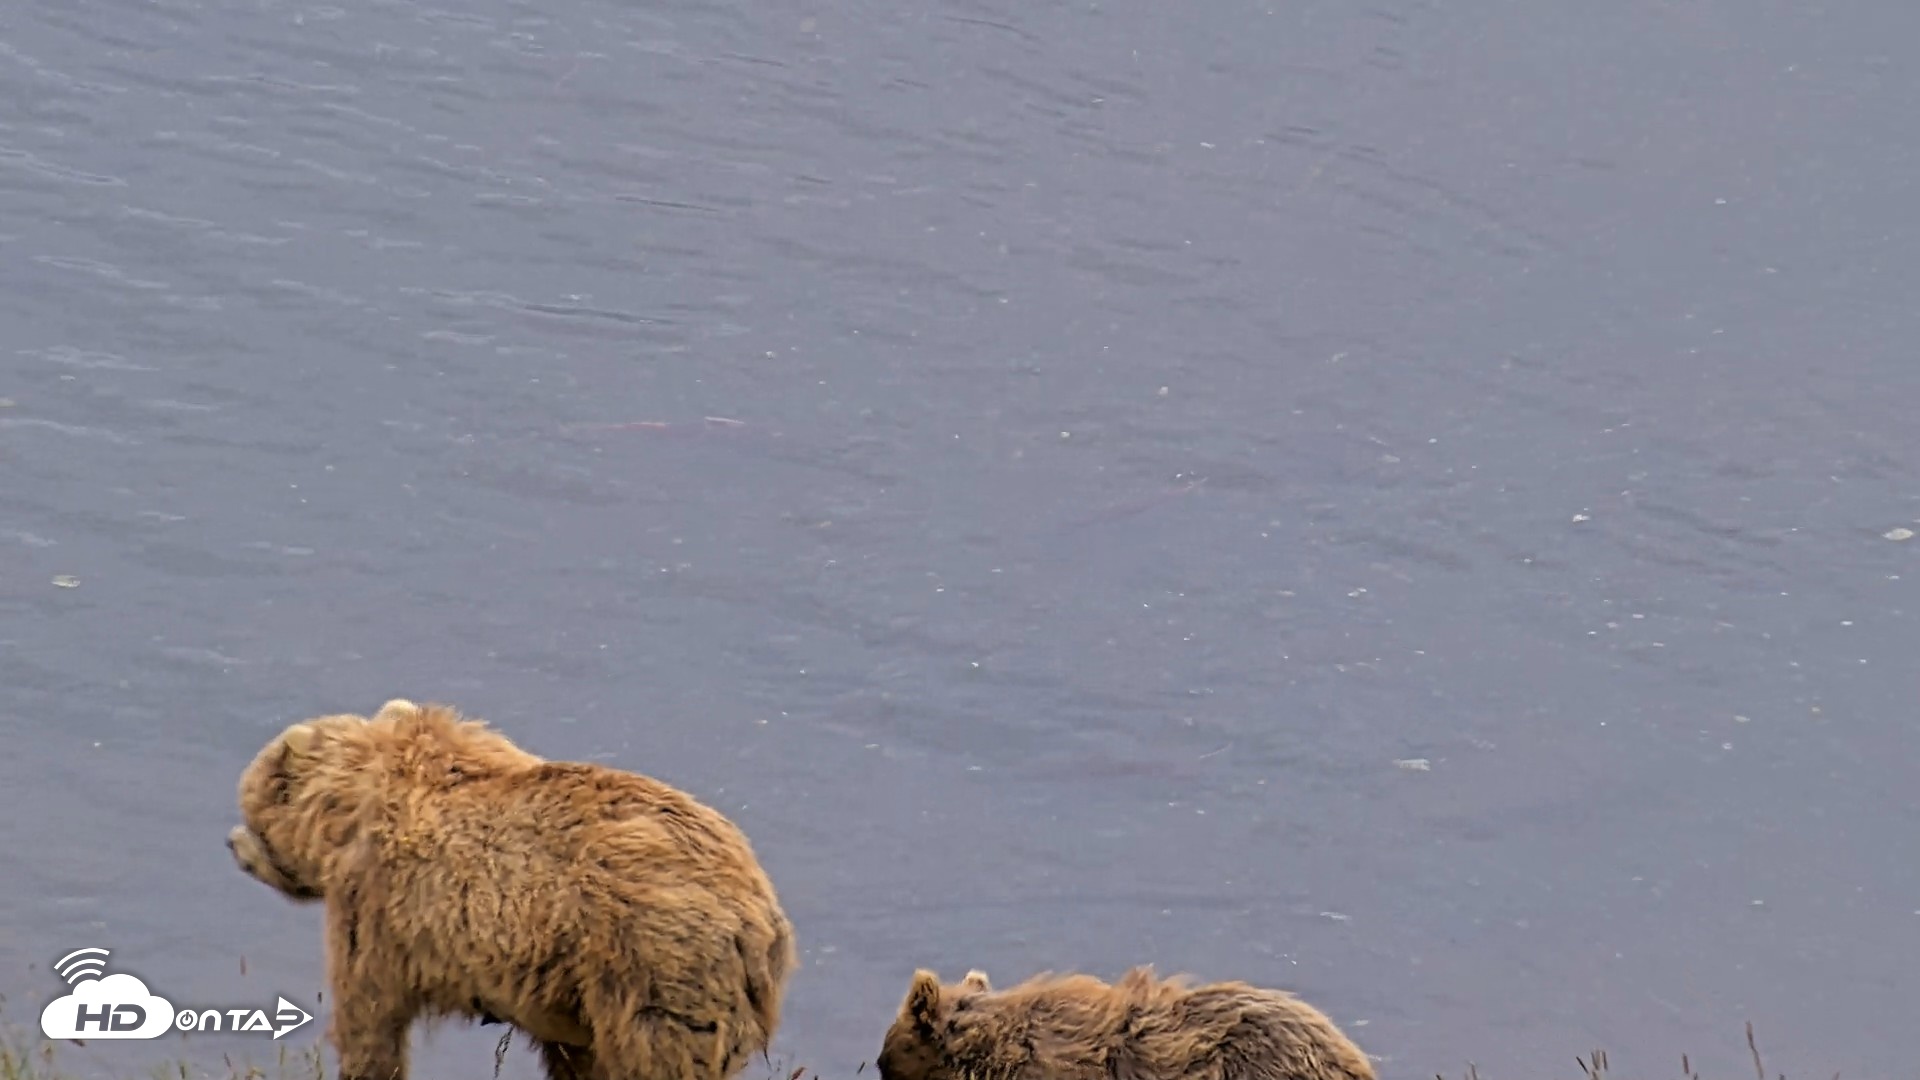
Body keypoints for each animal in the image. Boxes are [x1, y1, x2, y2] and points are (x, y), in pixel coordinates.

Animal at [226, 698, 798, 1080]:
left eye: (248, 807)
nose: (231, 843)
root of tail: (761, 923)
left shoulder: (379, 907)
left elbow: (370, 1015)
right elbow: (574, 1053)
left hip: (657, 971)